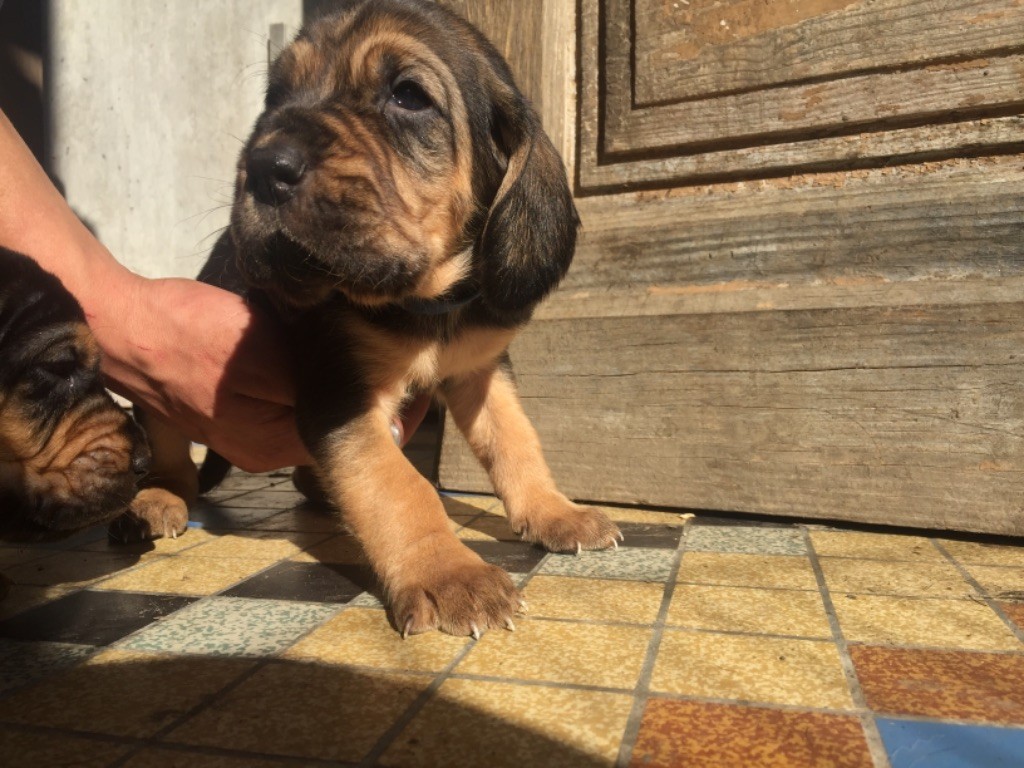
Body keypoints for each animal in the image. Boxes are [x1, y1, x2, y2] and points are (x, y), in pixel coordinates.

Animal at [134, 0, 622, 637]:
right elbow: (400, 485)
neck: (426, 301)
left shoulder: (482, 371)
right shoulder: (342, 394)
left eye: (408, 96)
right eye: (276, 95)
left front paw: (554, 512)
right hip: (157, 389)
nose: (262, 166)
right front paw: (450, 573)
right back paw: (156, 500)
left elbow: (517, 442)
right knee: (171, 458)